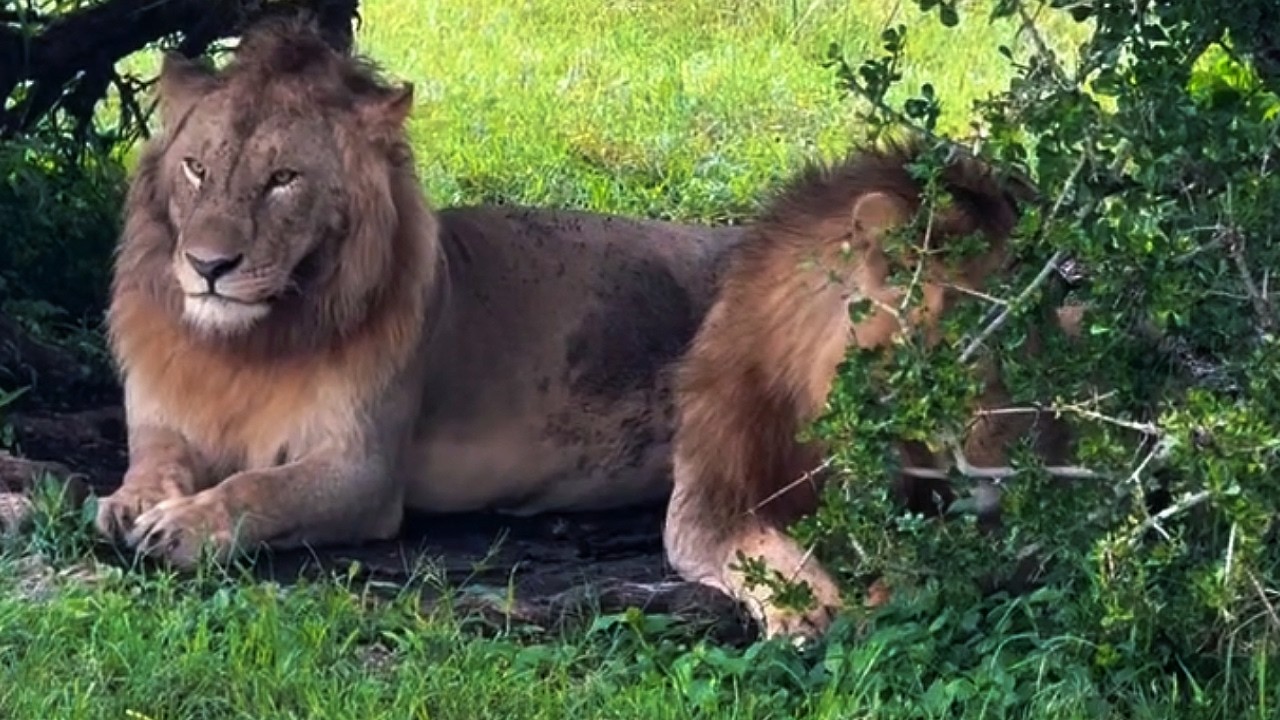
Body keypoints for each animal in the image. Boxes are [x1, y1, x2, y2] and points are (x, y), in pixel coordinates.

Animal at [96, 15, 1054, 642]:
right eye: (197, 168)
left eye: (283, 180)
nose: (208, 265)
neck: (245, 346)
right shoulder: (163, 417)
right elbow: (153, 464)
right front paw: (136, 505)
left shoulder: (362, 473)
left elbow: (258, 490)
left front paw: (183, 527)